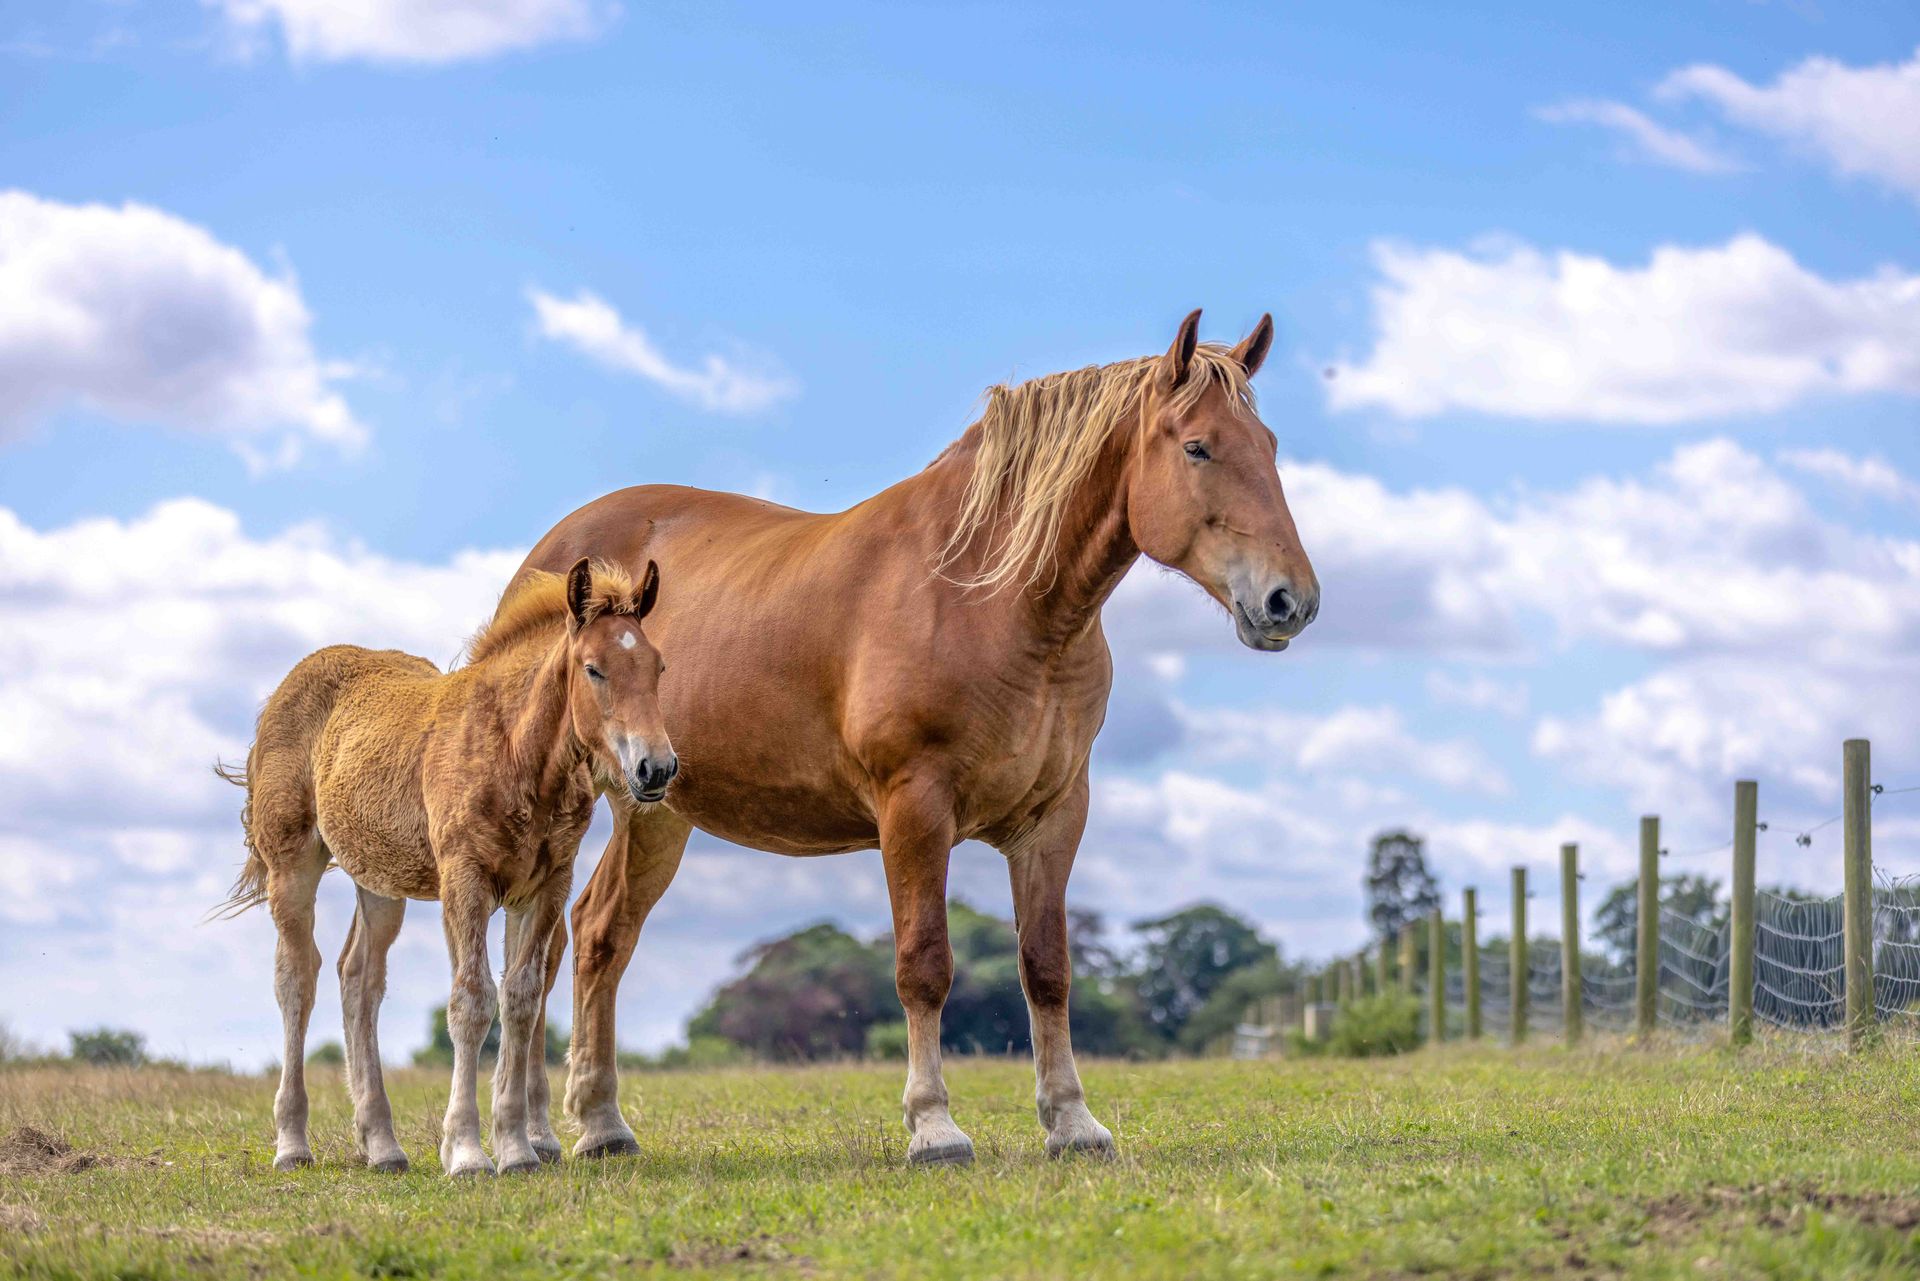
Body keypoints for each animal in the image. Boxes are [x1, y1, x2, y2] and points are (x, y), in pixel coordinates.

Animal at [216, 558, 672, 1177]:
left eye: (658, 667)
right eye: (593, 669)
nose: (657, 768)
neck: (515, 750)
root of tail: (286, 687)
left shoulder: (547, 885)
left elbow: (522, 999)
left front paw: (517, 1148)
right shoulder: (465, 879)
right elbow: (471, 1001)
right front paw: (467, 1152)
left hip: (380, 880)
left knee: (358, 980)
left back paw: (382, 1145)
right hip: (292, 862)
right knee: (297, 978)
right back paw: (292, 1144)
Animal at [508, 309, 1317, 1165]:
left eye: (1268, 445)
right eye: (1197, 446)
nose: (1290, 601)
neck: (988, 599)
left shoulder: (1055, 816)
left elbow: (1047, 967)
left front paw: (1072, 1120)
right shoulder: (914, 808)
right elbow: (924, 963)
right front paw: (934, 1125)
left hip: (657, 810)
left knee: (599, 933)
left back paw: (597, 1125)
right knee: (547, 948)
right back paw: (541, 1131)